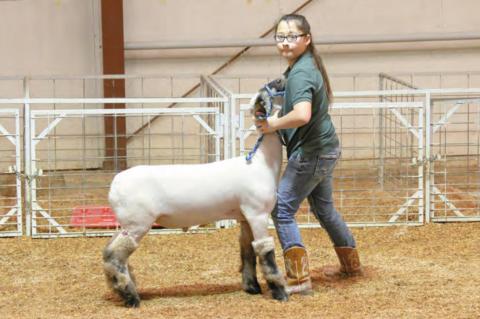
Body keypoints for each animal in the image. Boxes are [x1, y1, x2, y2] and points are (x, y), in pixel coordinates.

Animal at [102, 92, 286, 308]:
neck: (262, 162)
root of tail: (115, 184)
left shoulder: (244, 216)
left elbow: (248, 250)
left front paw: (252, 288)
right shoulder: (258, 213)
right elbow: (266, 252)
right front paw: (280, 292)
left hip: (127, 225)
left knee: (110, 251)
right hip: (137, 223)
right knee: (114, 256)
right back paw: (131, 297)